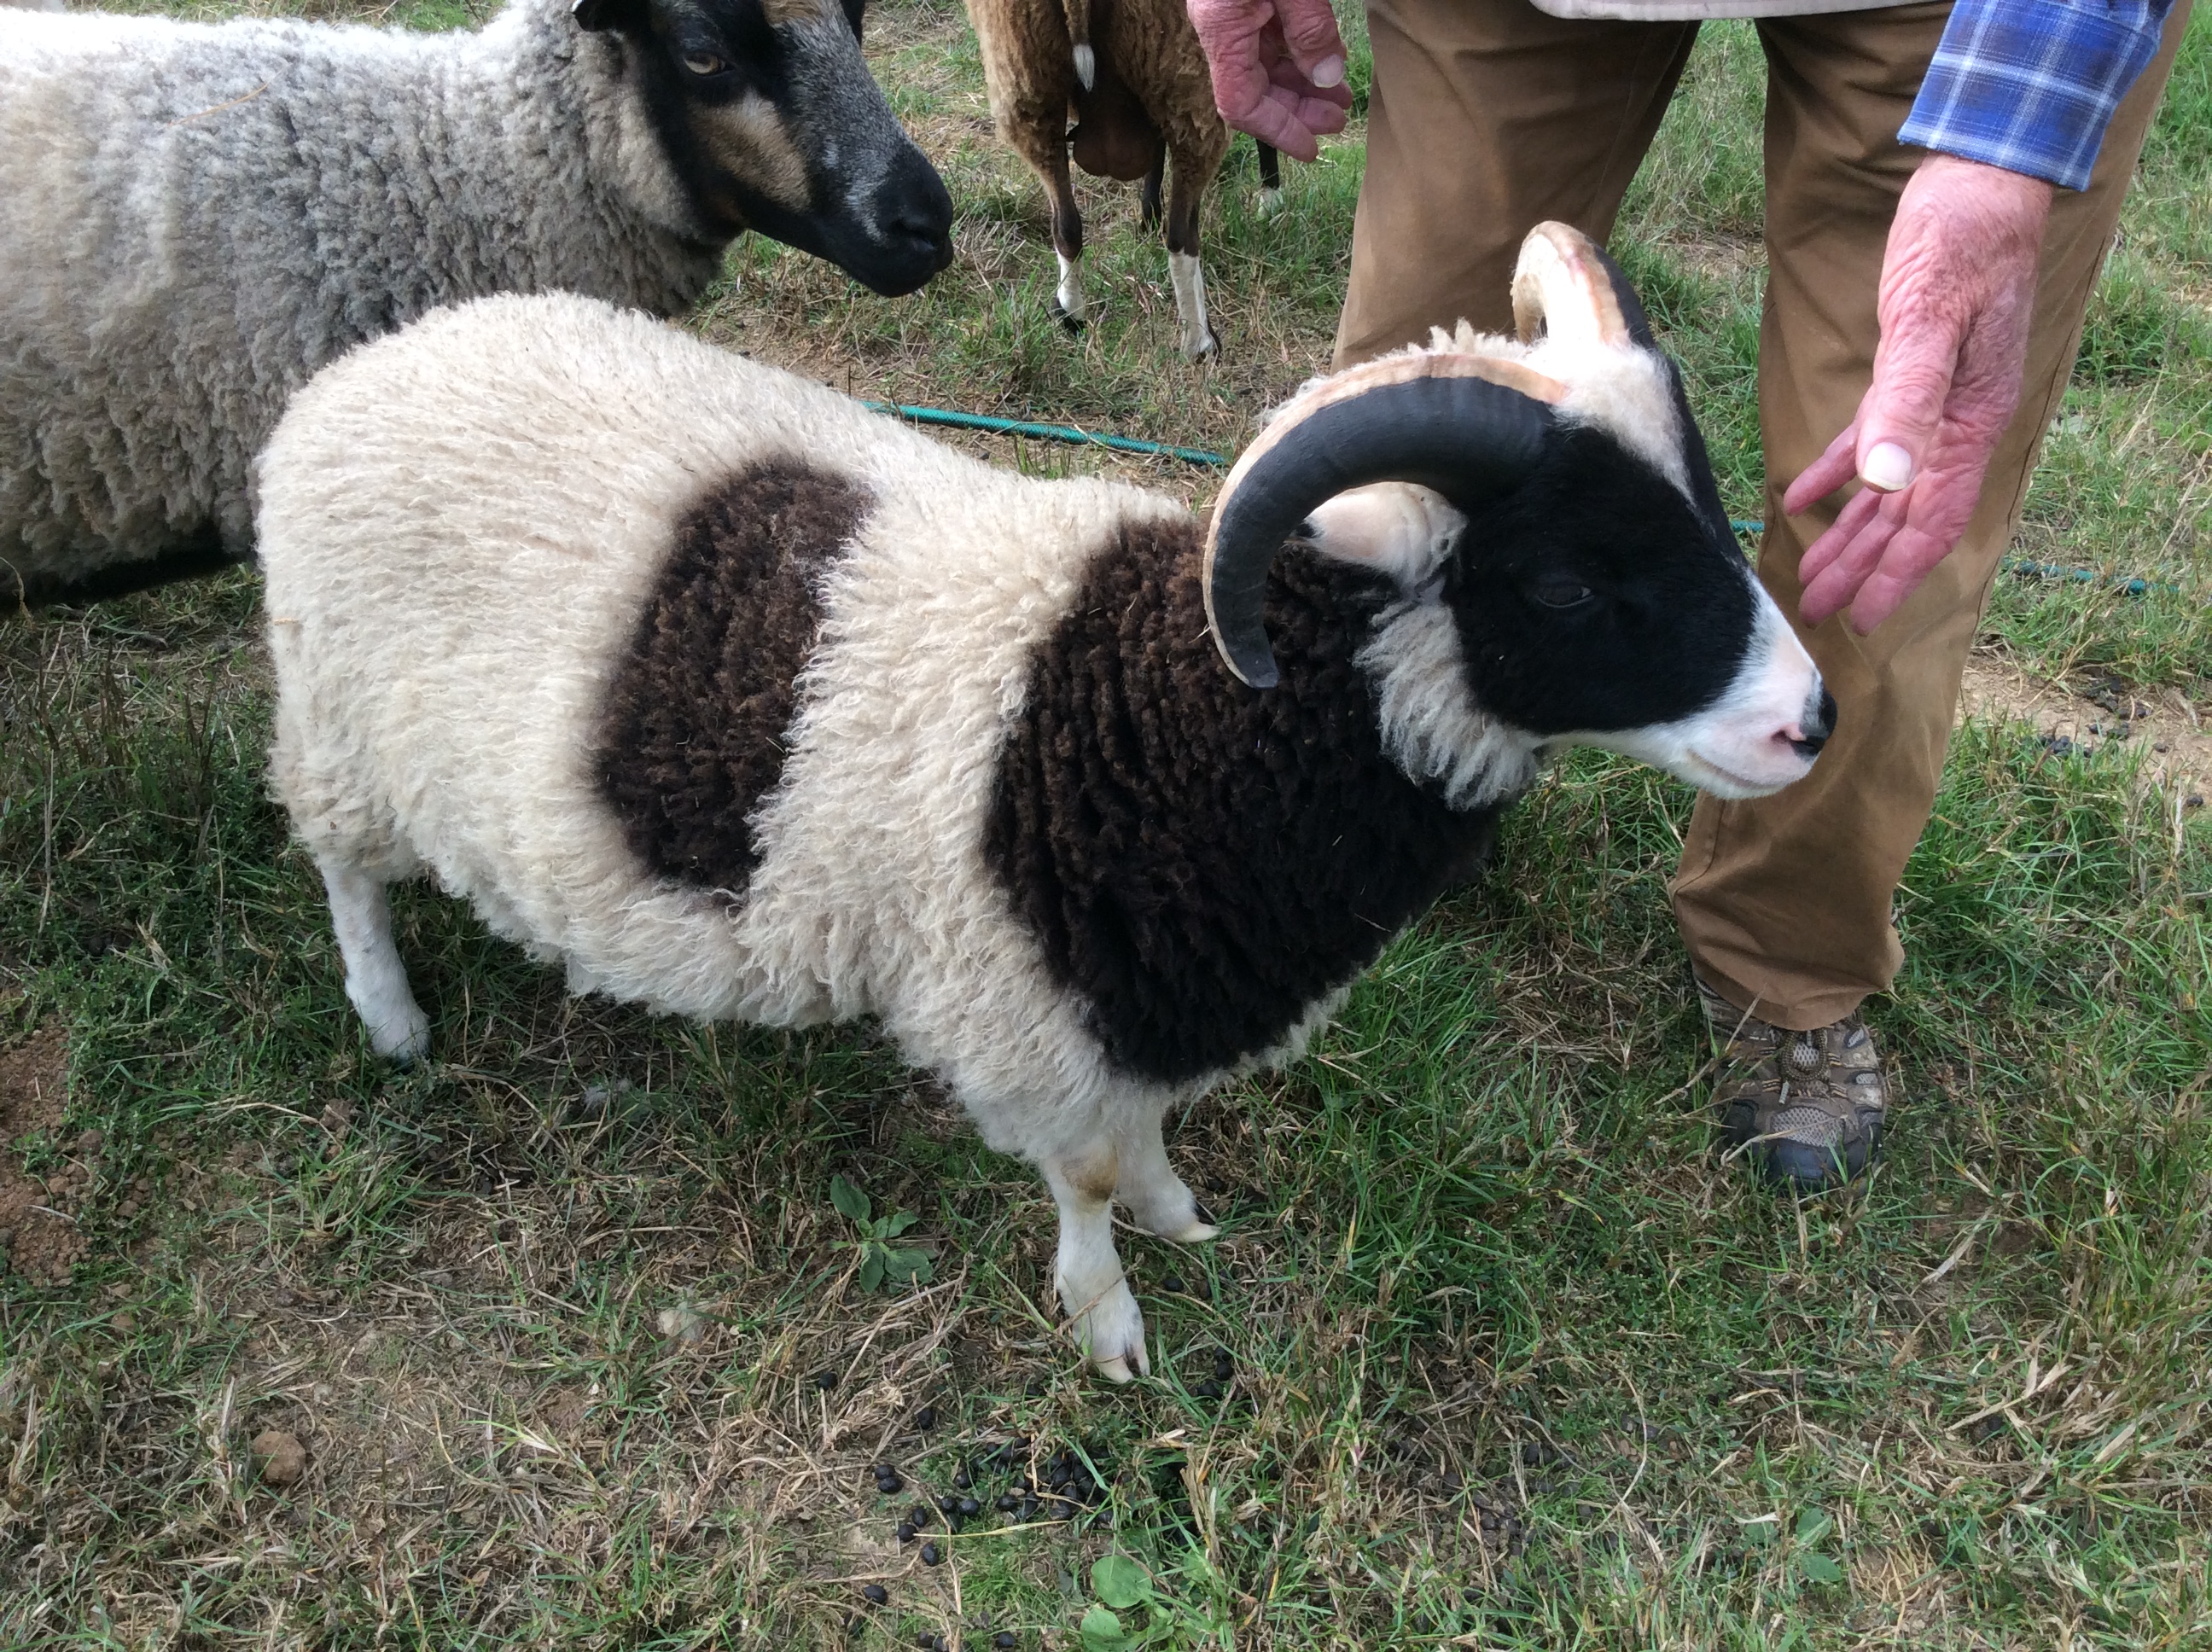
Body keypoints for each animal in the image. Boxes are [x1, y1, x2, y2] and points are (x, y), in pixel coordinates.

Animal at [258, 224, 1834, 1379]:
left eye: (1710, 511)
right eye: (1565, 582)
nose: (1809, 723)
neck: (1171, 712)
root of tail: (367, 363)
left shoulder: (1136, 992)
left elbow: (1143, 1138)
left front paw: (1181, 1219)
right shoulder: (1021, 1006)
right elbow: (1077, 1177)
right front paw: (1110, 1327)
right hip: (335, 723)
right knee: (342, 872)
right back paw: (391, 1022)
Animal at [963, 0, 1274, 358]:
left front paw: (1149, 213)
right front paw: (1271, 202)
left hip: (1027, 81)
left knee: (1066, 226)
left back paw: (1070, 313)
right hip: (1189, 76)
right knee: (1181, 235)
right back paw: (1200, 343)